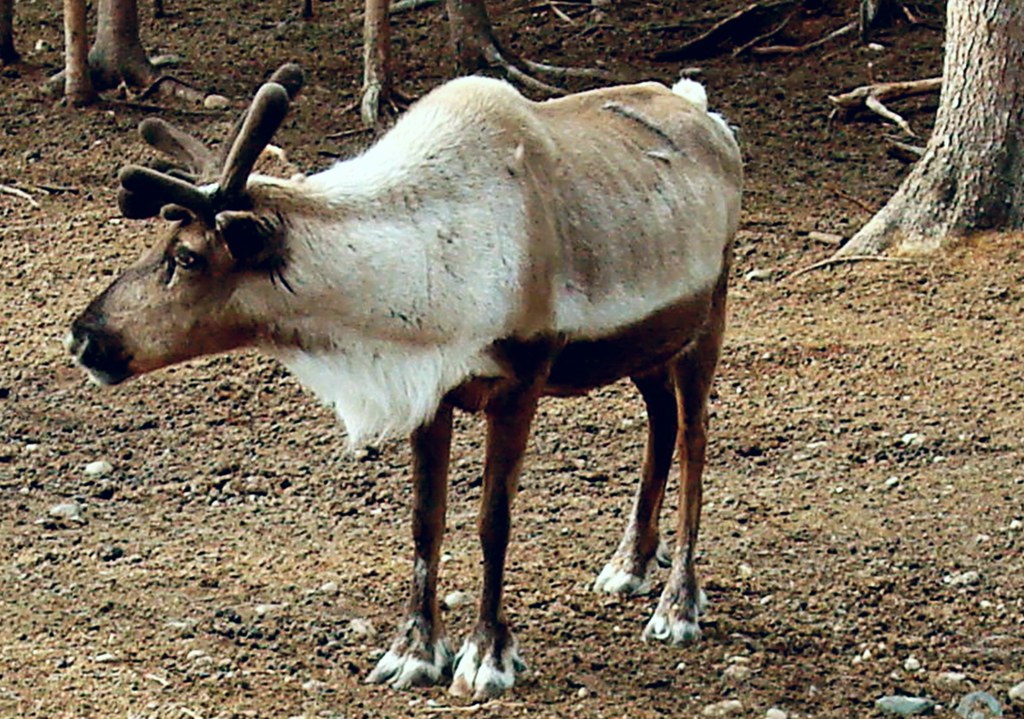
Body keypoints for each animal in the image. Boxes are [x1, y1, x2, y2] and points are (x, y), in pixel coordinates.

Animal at [66, 63, 742, 700]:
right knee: (660, 422)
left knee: (695, 440)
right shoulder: (428, 391)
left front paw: (487, 657)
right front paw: (414, 651)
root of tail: (707, 116)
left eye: (186, 257)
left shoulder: (520, 384)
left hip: (708, 318)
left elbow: (493, 522)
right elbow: (425, 519)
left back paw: (679, 603)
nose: (83, 336)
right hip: (648, 344)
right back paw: (631, 562)